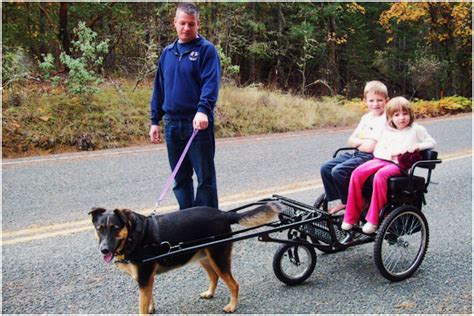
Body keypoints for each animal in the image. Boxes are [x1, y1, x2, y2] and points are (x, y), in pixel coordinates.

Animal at [89, 202, 282, 314]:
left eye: (115, 228)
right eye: (99, 229)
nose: (104, 250)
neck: (133, 235)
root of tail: (222, 213)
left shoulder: (144, 278)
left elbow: (142, 306)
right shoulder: (146, 279)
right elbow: (149, 299)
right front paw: (151, 308)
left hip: (218, 257)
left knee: (234, 284)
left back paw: (232, 306)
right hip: (204, 257)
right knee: (214, 276)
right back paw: (210, 293)